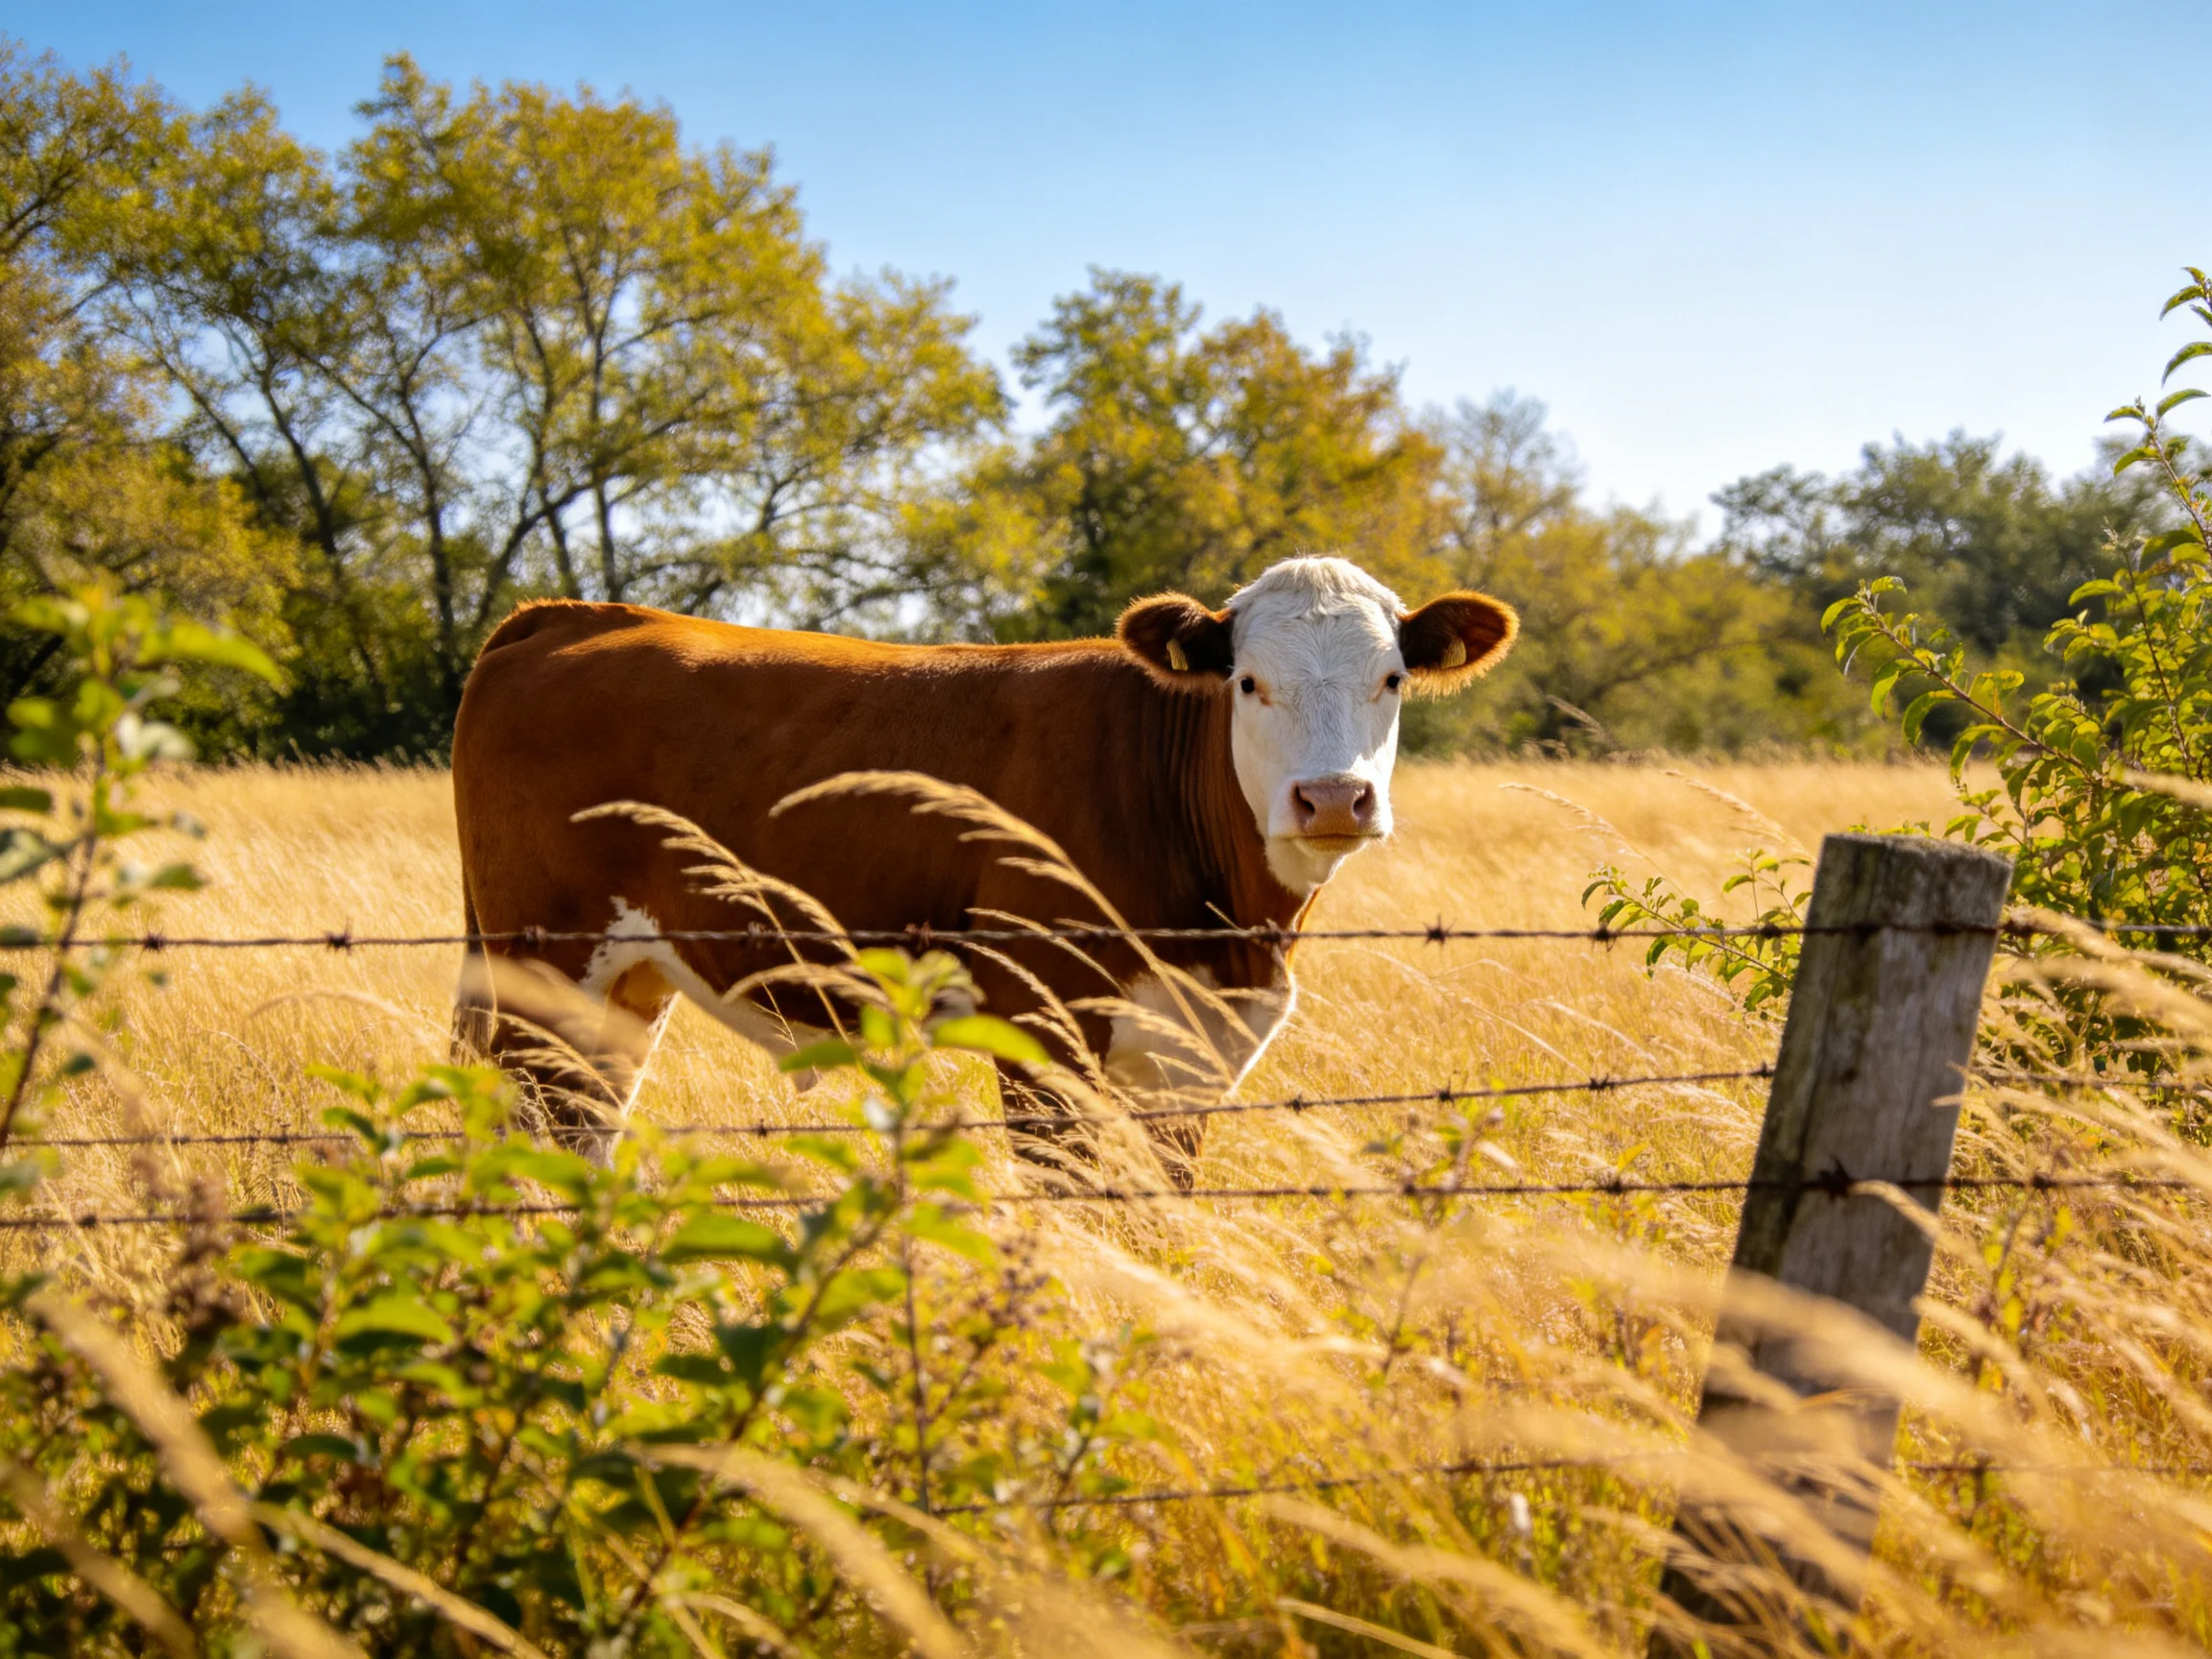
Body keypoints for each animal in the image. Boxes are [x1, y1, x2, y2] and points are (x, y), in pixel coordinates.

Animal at [449, 555, 1516, 1178]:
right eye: (1248, 683)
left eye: (1392, 679)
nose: (1333, 799)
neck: (1233, 932)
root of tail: (571, 615)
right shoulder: (1043, 1026)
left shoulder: (1197, 1051)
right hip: (543, 960)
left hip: (626, 978)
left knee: (584, 1125)